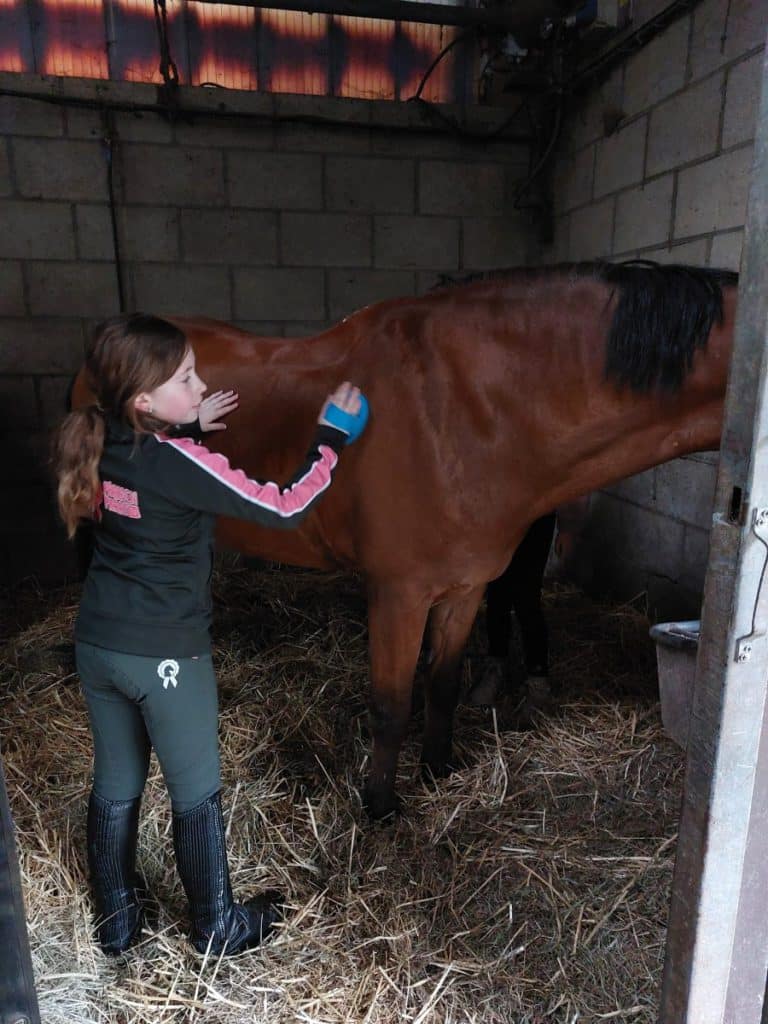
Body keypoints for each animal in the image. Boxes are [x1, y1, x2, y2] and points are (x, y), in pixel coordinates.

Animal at [72, 261, 738, 819]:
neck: (470, 411)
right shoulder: (398, 594)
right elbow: (391, 707)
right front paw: (379, 806)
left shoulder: (465, 589)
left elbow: (441, 685)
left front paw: (439, 769)